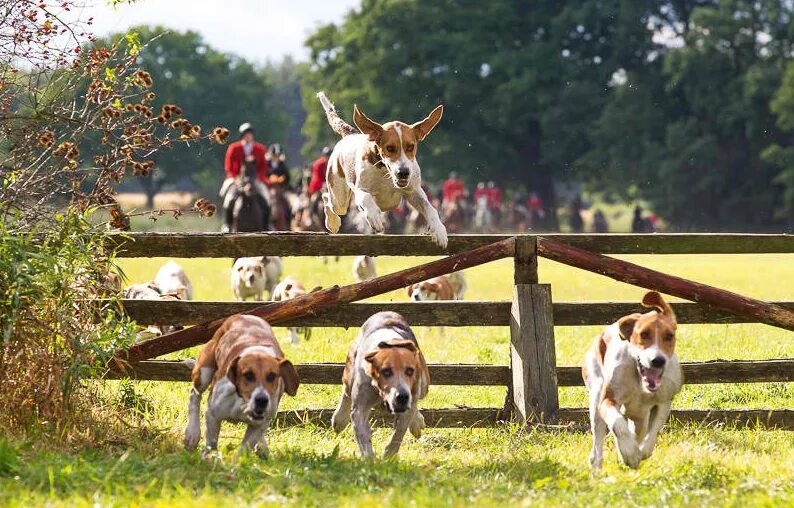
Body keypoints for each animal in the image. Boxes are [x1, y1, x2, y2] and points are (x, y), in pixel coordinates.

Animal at [183, 316, 300, 454]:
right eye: (248, 375)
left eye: (272, 376)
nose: (262, 400)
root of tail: (241, 316)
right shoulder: (213, 414)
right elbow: (211, 442)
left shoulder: (260, 424)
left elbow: (245, 448)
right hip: (204, 371)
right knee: (195, 394)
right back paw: (192, 434)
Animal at [318, 94, 452, 250]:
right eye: (390, 148)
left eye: (410, 147)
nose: (403, 172)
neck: (384, 171)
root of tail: (350, 135)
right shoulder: (361, 189)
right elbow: (366, 197)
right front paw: (374, 217)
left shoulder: (414, 191)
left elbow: (430, 208)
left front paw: (439, 230)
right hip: (339, 197)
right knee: (328, 199)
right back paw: (333, 222)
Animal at [332, 312, 430, 458]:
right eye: (386, 372)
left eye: (410, 371)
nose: (402, 396)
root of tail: (385, 312)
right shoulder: (359, 409)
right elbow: (363, 436)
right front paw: (370, 460)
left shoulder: (409, 403)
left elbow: (399, 433)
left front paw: (388, 458)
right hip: (349, 372)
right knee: (346, 392)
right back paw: (339, 419)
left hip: (424, 385)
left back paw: (417, 423)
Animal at [580, 292, 680, 470]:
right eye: (644, 334)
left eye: (669, 336)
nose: (658, 360)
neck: (640, 381)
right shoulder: (607, 399)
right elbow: (618, 423)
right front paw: (630, 454)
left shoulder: (664, 401)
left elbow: (653, 431)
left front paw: (641, 451)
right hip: (596, 392)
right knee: (598, 435)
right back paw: (597, 465)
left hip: (640, 417)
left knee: (639, 430)